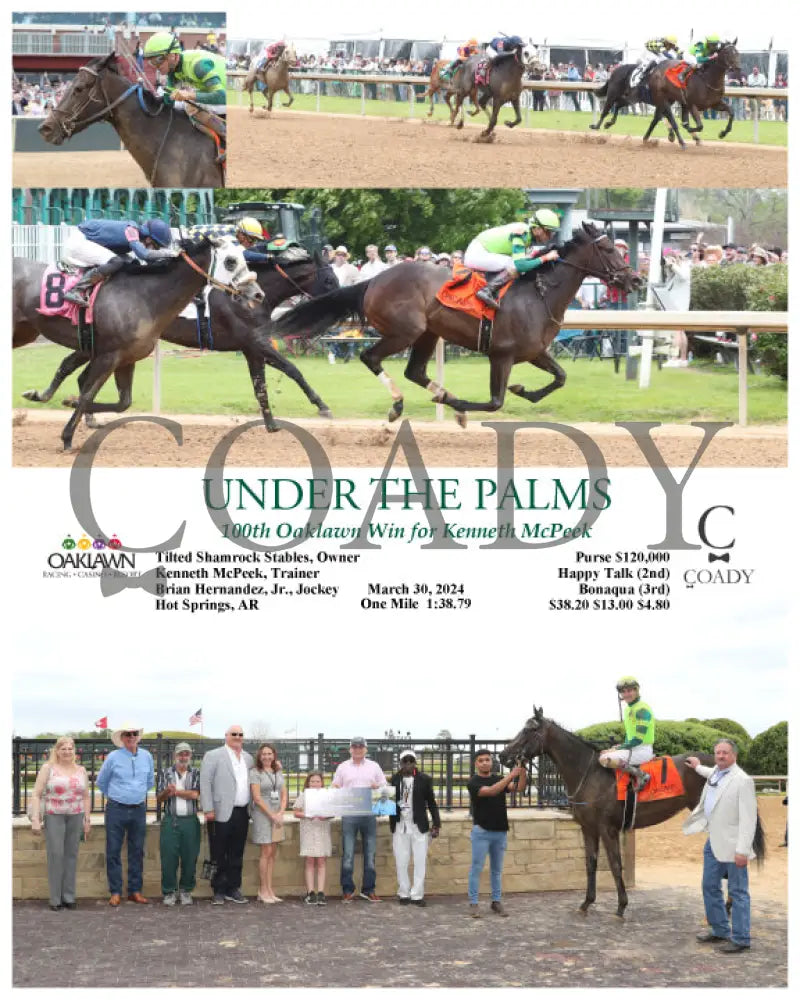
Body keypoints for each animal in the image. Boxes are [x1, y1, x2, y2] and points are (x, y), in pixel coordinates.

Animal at [13, 236, 262, 448]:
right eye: (230, 261)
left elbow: (123, 402)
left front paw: (69, 402)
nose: (258, 294)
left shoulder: (126, 358)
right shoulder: (108, 356)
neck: (143, 297)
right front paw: (67, 436)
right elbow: (87, 393)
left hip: (25, 333)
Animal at [274, 223, 636, 426]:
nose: (635, 279)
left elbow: (560, 377)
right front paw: (465, 405)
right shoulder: (501, 354)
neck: (539, 294)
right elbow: (495, 402)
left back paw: (442, 397)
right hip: (405, 331)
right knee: (370, 357)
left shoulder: (534, 352)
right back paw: (399, 404)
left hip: (427, 334)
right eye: (607, 248)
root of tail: (374, 280)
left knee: (415, 371)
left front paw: (522, 390)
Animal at [504, 708, 764, 916]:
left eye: (529, 730)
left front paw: (621, 905)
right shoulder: (588, 829)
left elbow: (615, 864)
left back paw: (729, 905)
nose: (504, 755)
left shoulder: (607, 829)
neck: (590, 775)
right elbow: (591, 864)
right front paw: (587, 902)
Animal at [592, 40, 740, 147]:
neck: (706, 78)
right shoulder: (691, 104)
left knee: (621, 106)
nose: (738, 68)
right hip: (616, 93)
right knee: (606, 109)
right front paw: (689, 132)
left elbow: (732, 112)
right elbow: (697, 125)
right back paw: (596, 126)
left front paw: (722, 133)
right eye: (727, 53)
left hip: (635, 98)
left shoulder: (714, 103)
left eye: (737, 52)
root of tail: (615, 70)